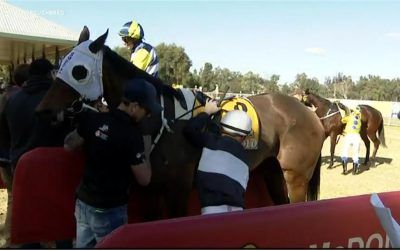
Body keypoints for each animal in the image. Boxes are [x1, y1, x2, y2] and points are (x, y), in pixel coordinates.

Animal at [36, 26, 324, 219]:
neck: (161, 119)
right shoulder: (152, 189)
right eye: (61, 65)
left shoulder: (178, 190)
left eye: (79, 72)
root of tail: (311, 114)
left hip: (296, 176)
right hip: (272, 171)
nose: (44, 111)